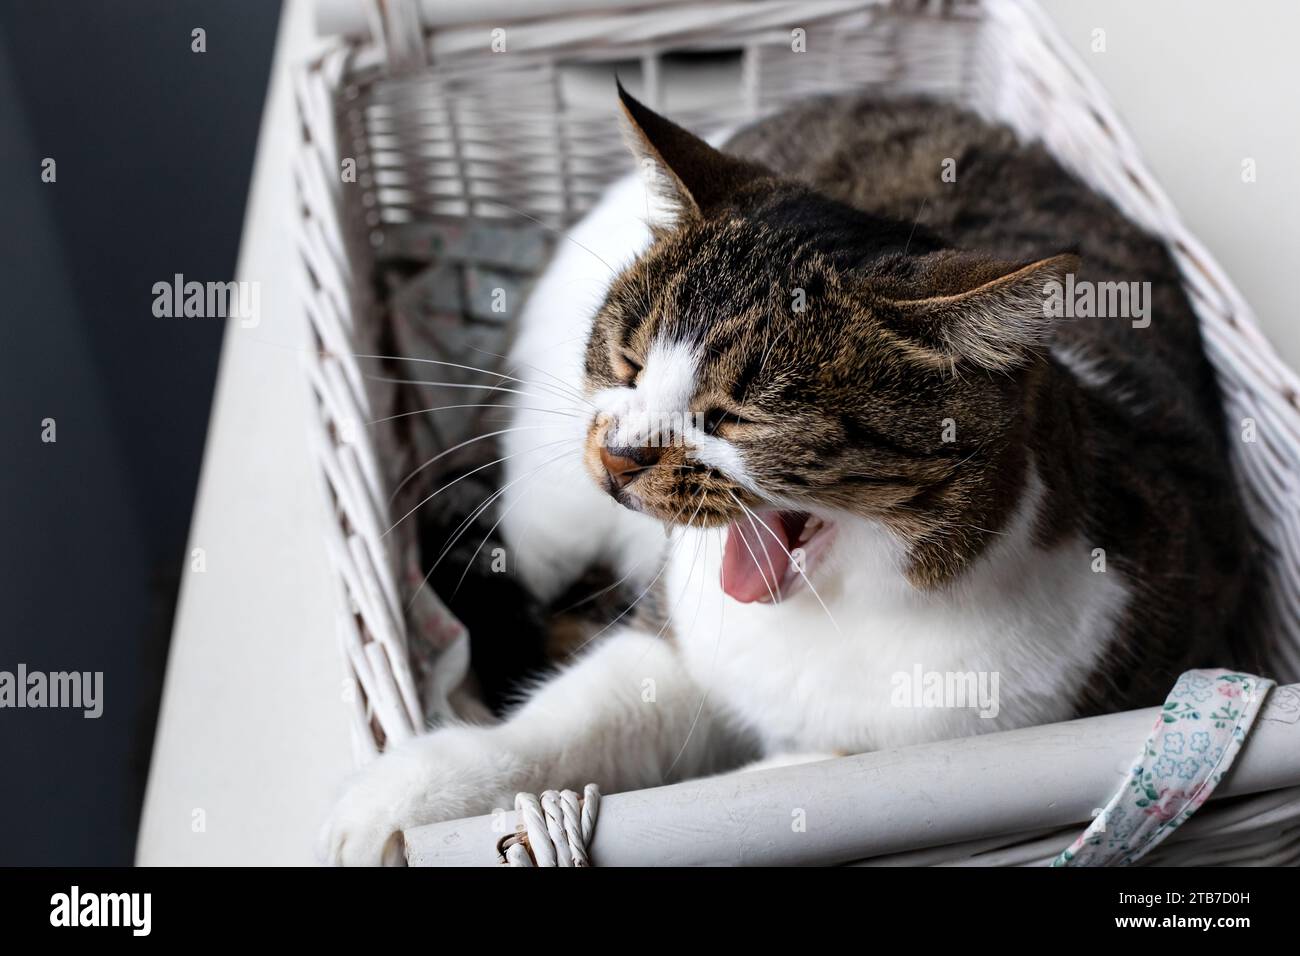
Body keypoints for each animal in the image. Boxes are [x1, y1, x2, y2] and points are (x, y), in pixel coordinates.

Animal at [314, 85, 1248, 868]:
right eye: (628, 359)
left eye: (735, 417)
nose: (619, 453)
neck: (842, 616)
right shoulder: (681, 646)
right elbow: (568, 724)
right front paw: (406, 800)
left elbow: (747, 798)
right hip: (550, 506)